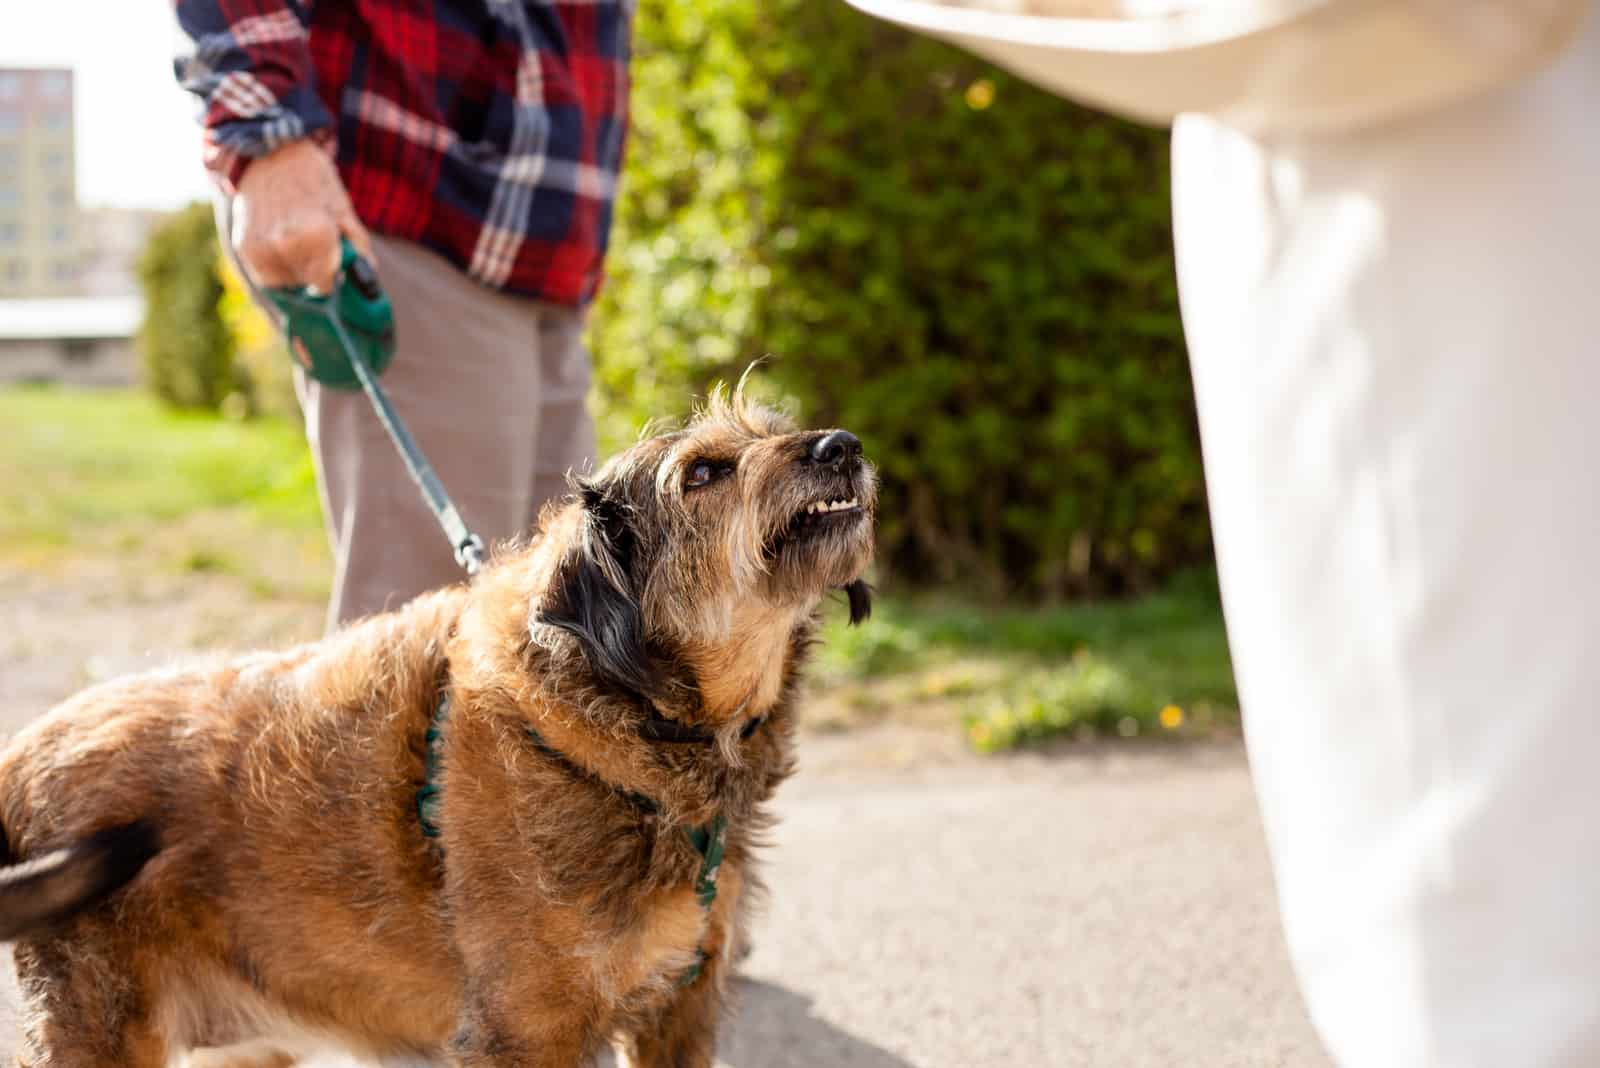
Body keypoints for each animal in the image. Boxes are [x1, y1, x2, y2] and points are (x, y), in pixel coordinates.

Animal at [0, 391, 876, 1068]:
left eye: (774, 427)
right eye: (702, 473)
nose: (844, 445)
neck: (618, 735)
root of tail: (20, 756)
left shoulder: (679, 1014)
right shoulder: (528, 1034)